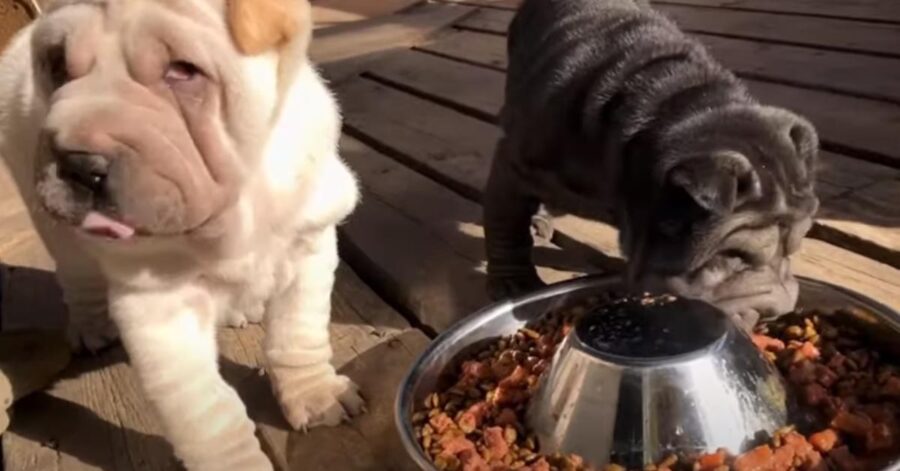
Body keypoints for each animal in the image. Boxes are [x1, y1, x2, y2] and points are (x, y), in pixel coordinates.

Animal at [1, 0, 366, 468]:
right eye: (59, 67)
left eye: (182, 71)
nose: (79, 165)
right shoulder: (160, 308)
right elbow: (207, 413)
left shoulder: (308, 247)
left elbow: (298, 335)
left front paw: (317, 395)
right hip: (53, 226)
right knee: (78, 275)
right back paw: (91, 326)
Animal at [486, 0, 824, 328]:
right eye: (733, 255)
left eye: (795, 246)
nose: (776, 310)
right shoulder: (516, 165)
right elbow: (506, 224)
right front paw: (514, 283)